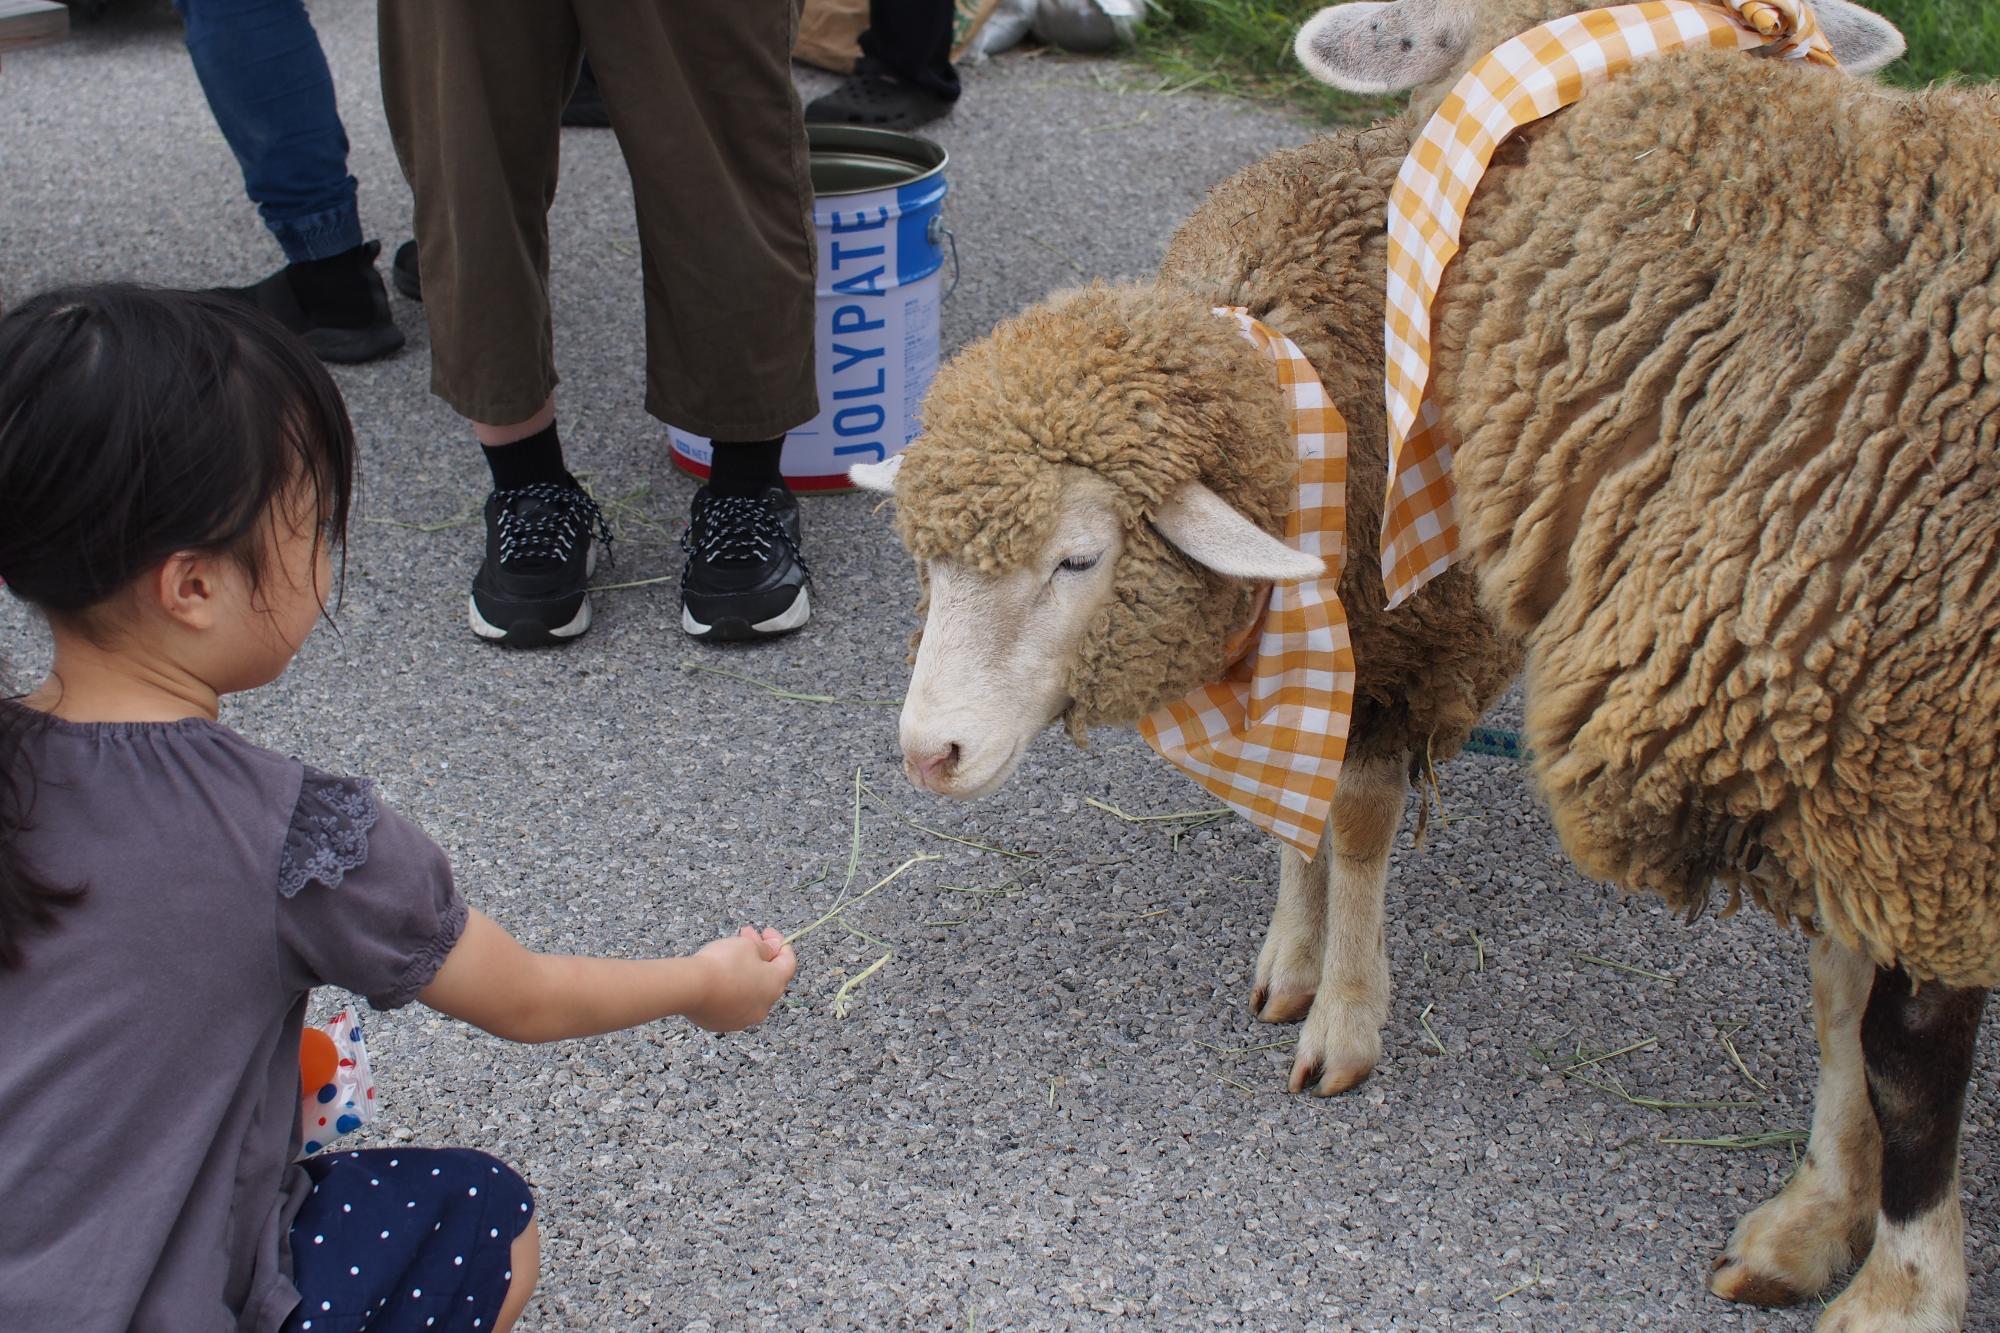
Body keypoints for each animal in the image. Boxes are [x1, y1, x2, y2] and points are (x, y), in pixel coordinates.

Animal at [1288, 0, 1992, 1320]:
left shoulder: (1929, 779)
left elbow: (1906, 1055)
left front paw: (1900, 1287)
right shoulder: (1847, 752)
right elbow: (1839, 1005)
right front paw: (1817, 1217)